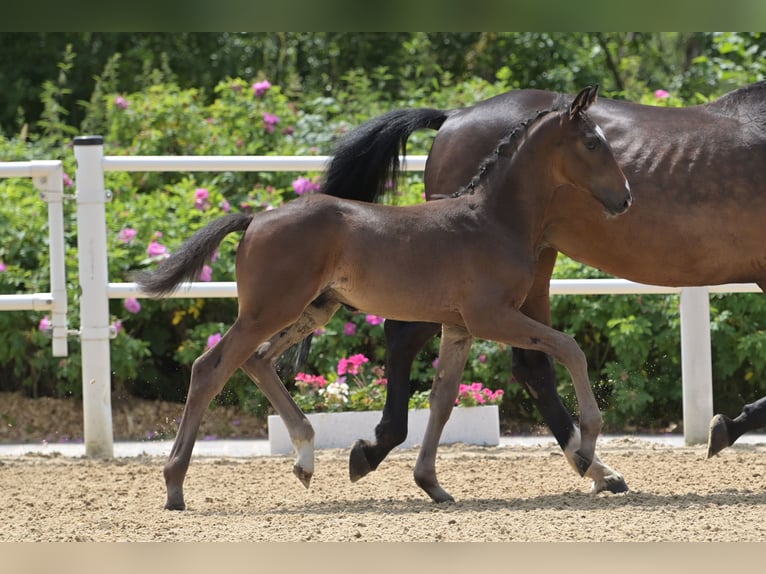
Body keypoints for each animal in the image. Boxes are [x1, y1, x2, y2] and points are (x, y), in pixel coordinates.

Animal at [140, 88, 636, 510]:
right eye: (592, 143)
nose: (626, 198)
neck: (492, 219)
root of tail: (255, 219)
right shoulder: (492, 317)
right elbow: (570, 348)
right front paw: (589, 446)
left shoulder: (459, 326)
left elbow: (443, 398)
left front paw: (431, 483)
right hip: (269, 309)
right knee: (211, 368)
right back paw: (175, 486)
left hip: (314, 308)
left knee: (258, 360)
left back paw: (305, 457)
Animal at [320, 81, 766, 492]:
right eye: (591, 143)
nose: (625, 198)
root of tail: (453, 116)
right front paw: (727, 426)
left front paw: (726, 426)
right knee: (412, 337)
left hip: (527, 269)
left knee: (527, 367)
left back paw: (595, 468)